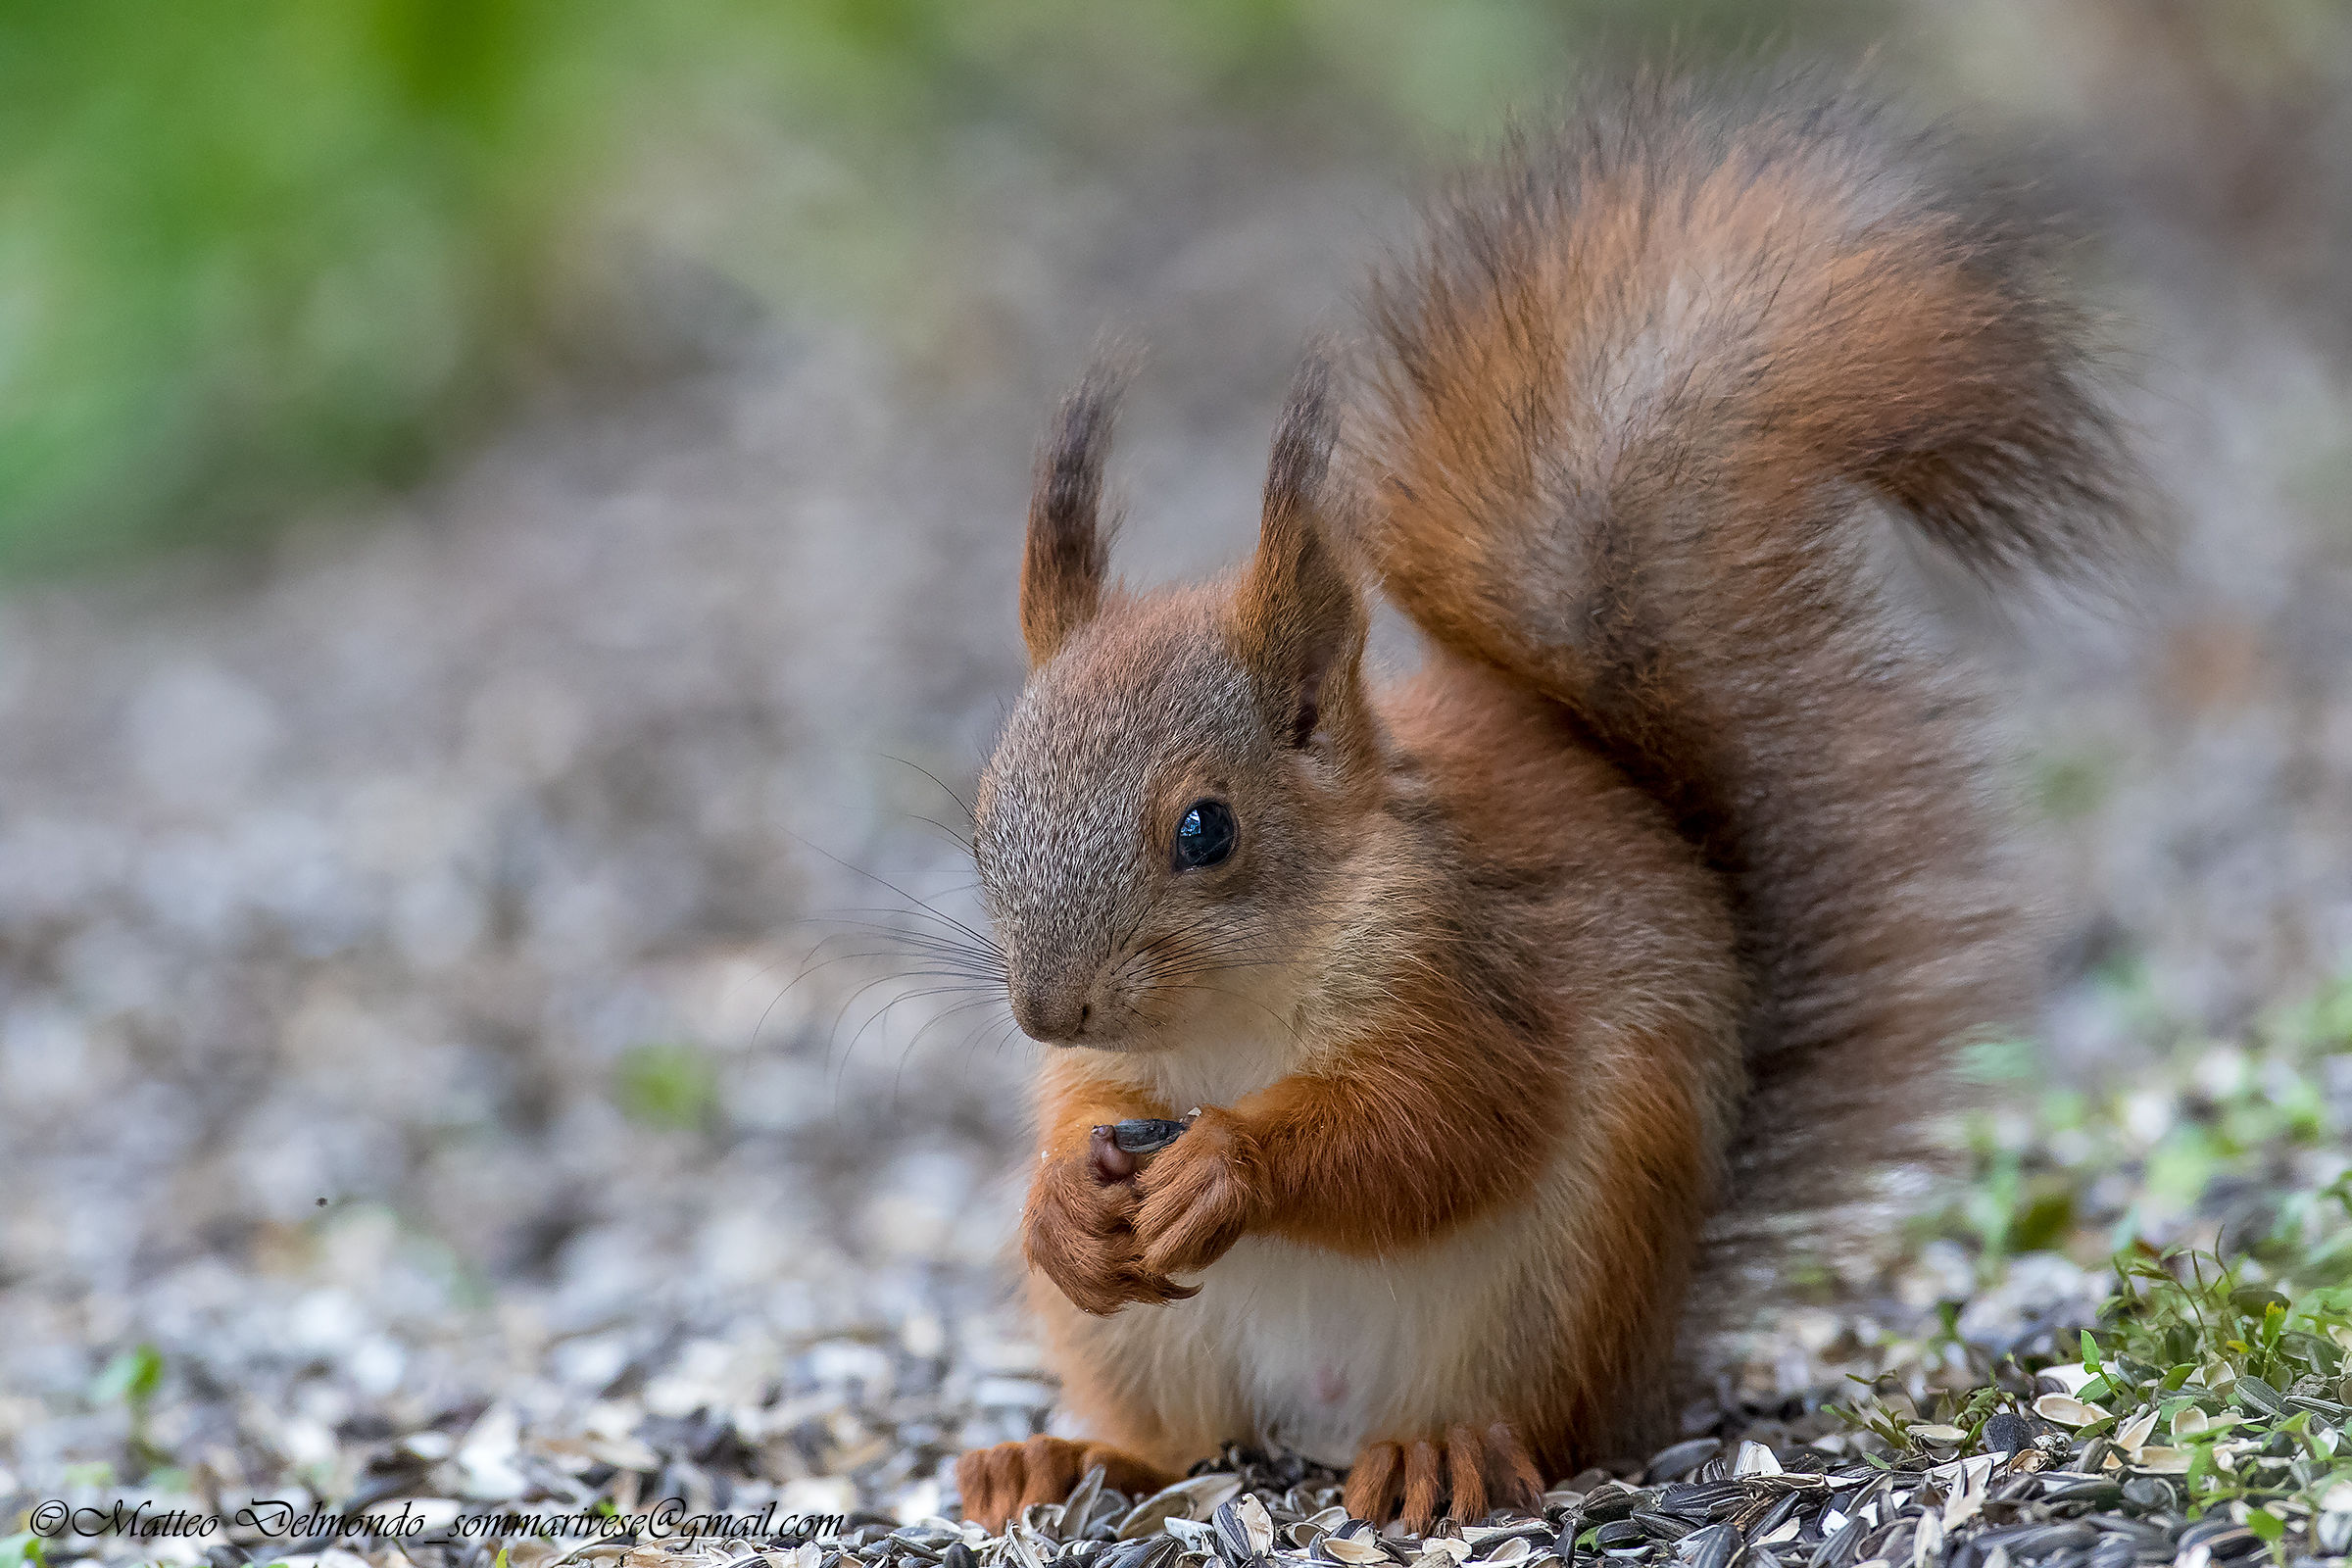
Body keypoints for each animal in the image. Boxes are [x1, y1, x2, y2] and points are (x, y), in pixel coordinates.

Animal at [952, 73, 2135, 1533]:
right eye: (985, 814)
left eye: (1204, 830)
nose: (1043, 1011)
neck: (1233, 1018)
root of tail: (1321, 1426)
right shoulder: (1117, 1075)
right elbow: (1081, 1114)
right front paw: (1060, 1202)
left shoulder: (1467, 967)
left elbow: (1441, 1126)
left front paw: (1228, 1166)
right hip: (1146, 1345)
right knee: (1178, 1447)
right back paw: (1060, 1459)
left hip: (1569, 1272)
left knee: (1536, 1422)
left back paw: (1442, 1453)